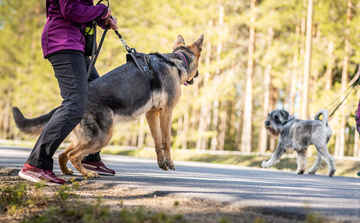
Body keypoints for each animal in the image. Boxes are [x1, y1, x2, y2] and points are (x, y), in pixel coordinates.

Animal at [12, 33, 204, 178]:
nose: (198, 75)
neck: (175, 61)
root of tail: (65, 103)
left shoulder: (152, 114)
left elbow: (157, 142)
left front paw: (162, 163)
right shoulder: (167, 111)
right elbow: (166, 141)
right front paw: (170, 162)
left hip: (86, 138)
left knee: (63, 154)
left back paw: (68, 172)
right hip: (102, 136)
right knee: (73, 155)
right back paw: (87, 174)